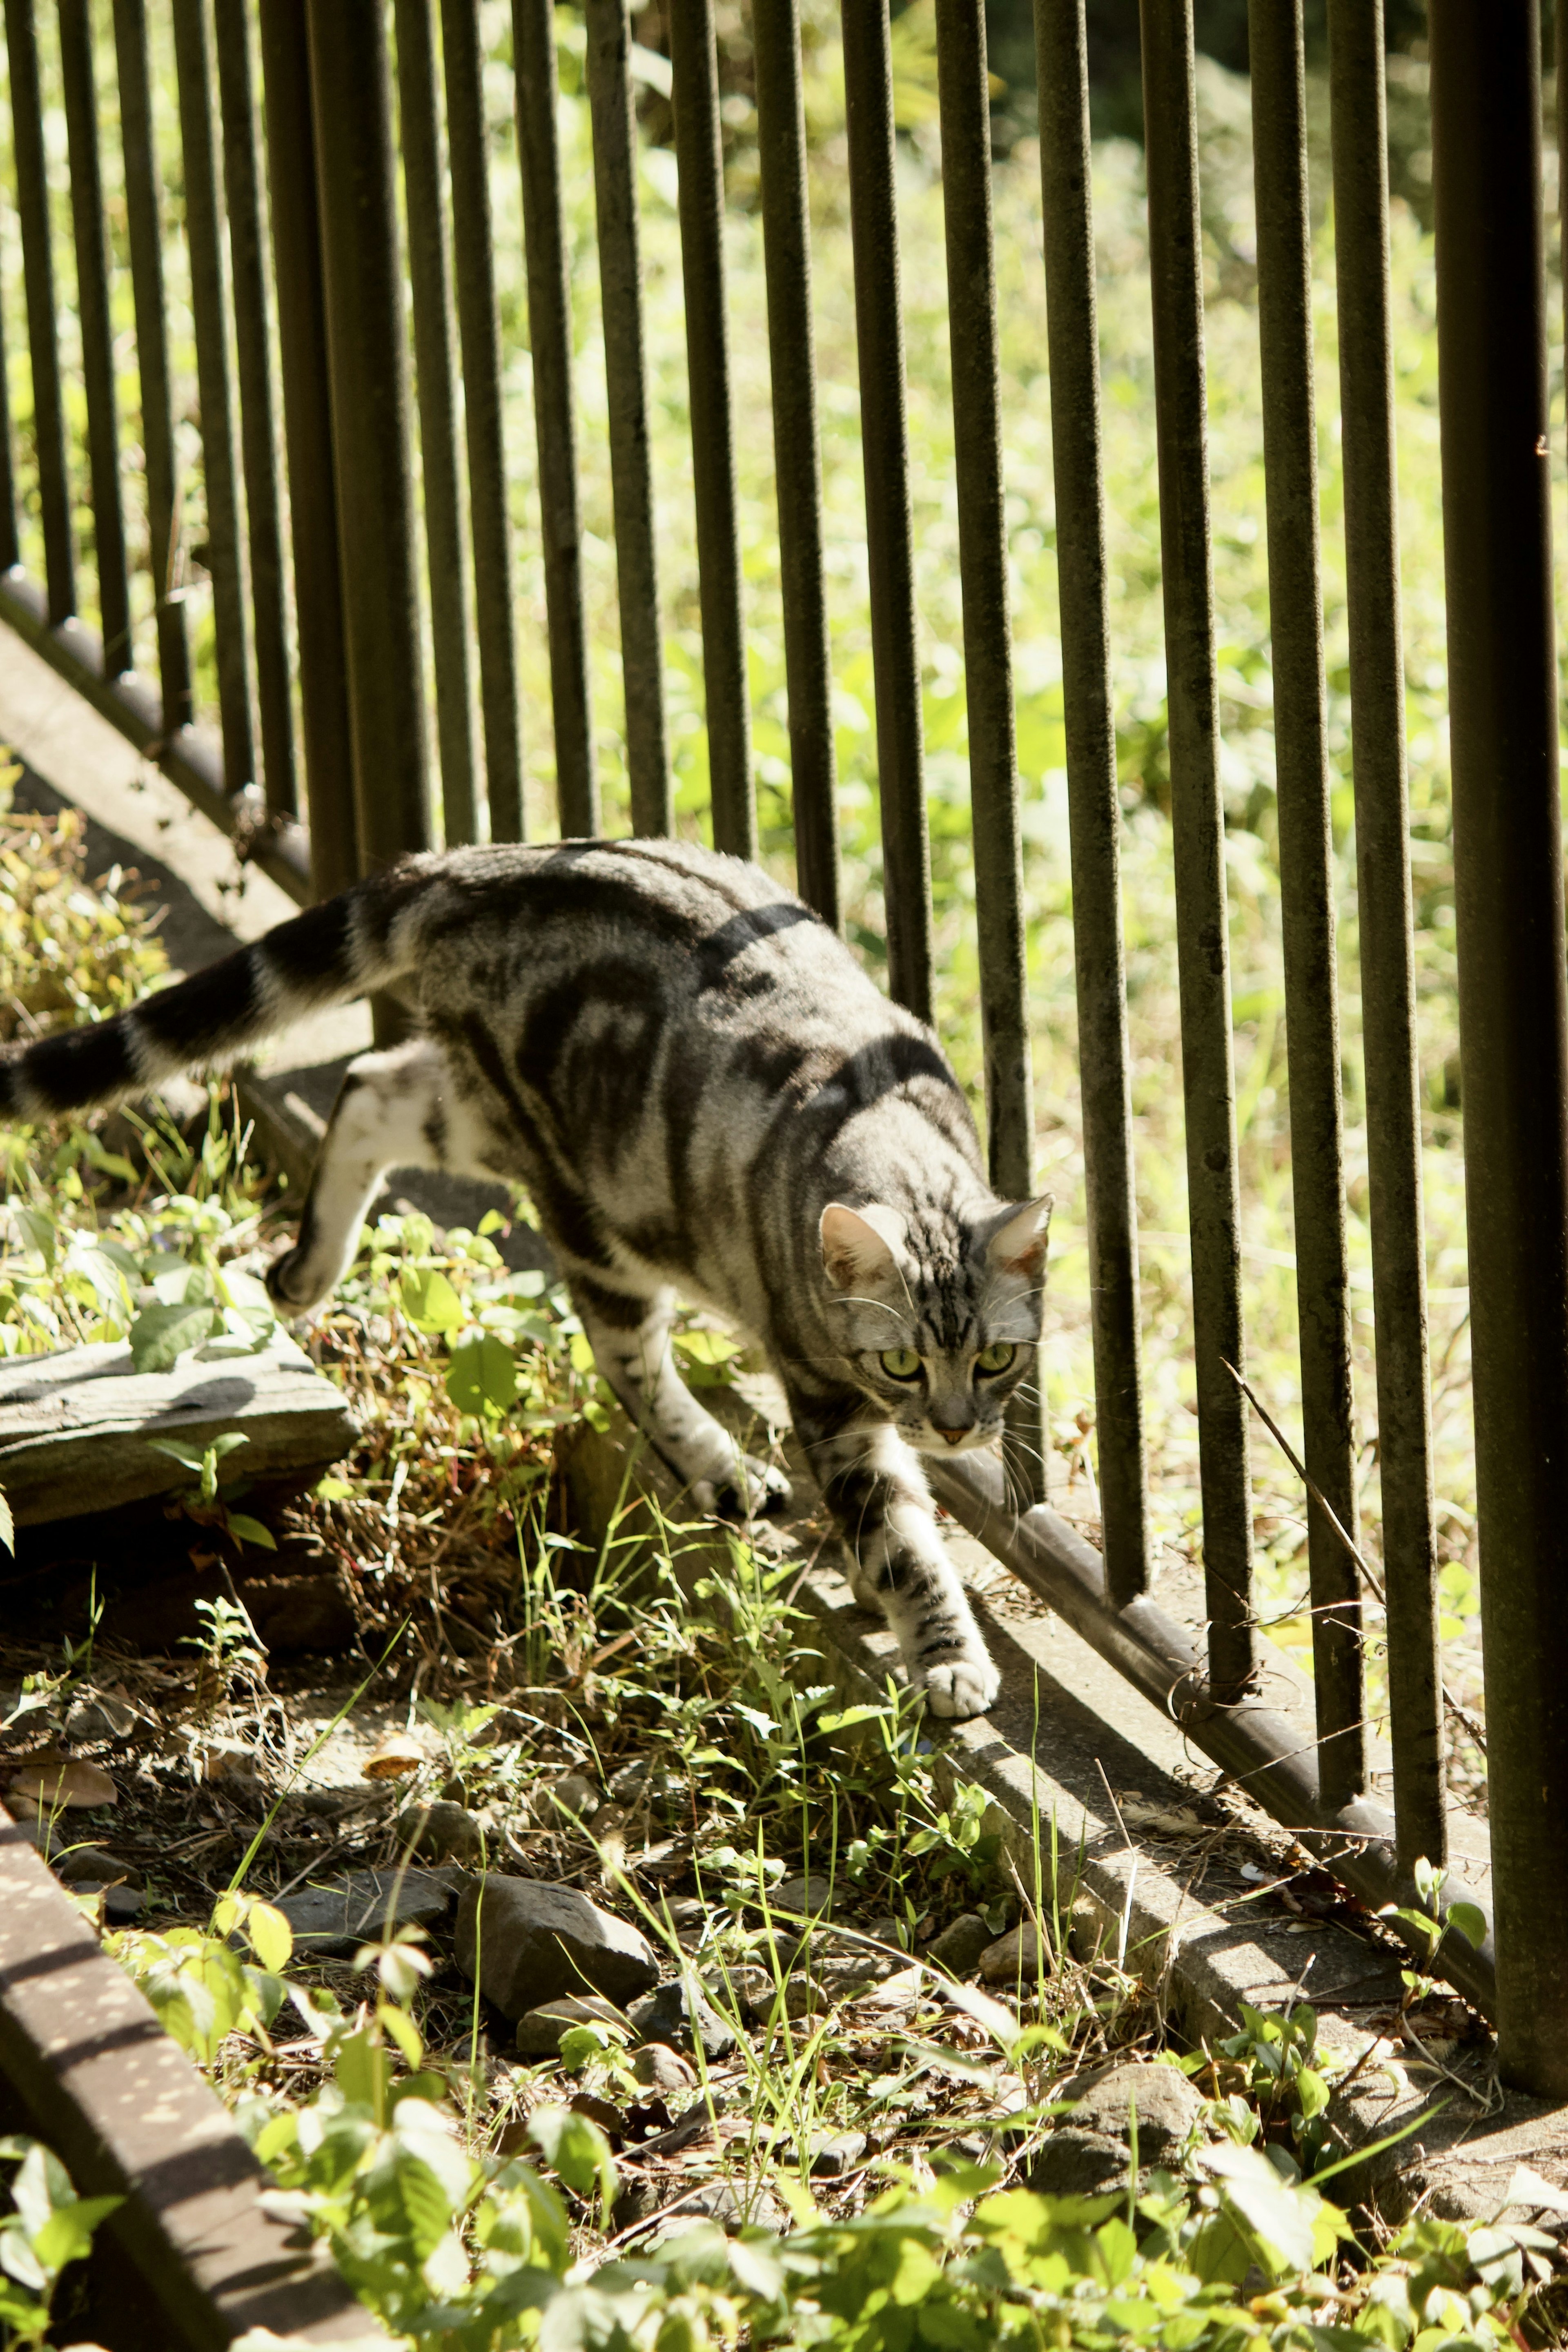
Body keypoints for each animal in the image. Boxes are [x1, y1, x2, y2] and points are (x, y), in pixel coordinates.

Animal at [6, 837, 1053, 1722]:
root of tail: (469, 865)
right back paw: (716, 1467)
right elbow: (897, 1531)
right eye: (903, 1364)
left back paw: (304, 1270)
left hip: (488, 1120)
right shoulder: (826, 1392)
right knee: (624, 1356)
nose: (956, 1428)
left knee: (371, 1083)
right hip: (590, 1203)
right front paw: (947, 1656)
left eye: (998, 1357)